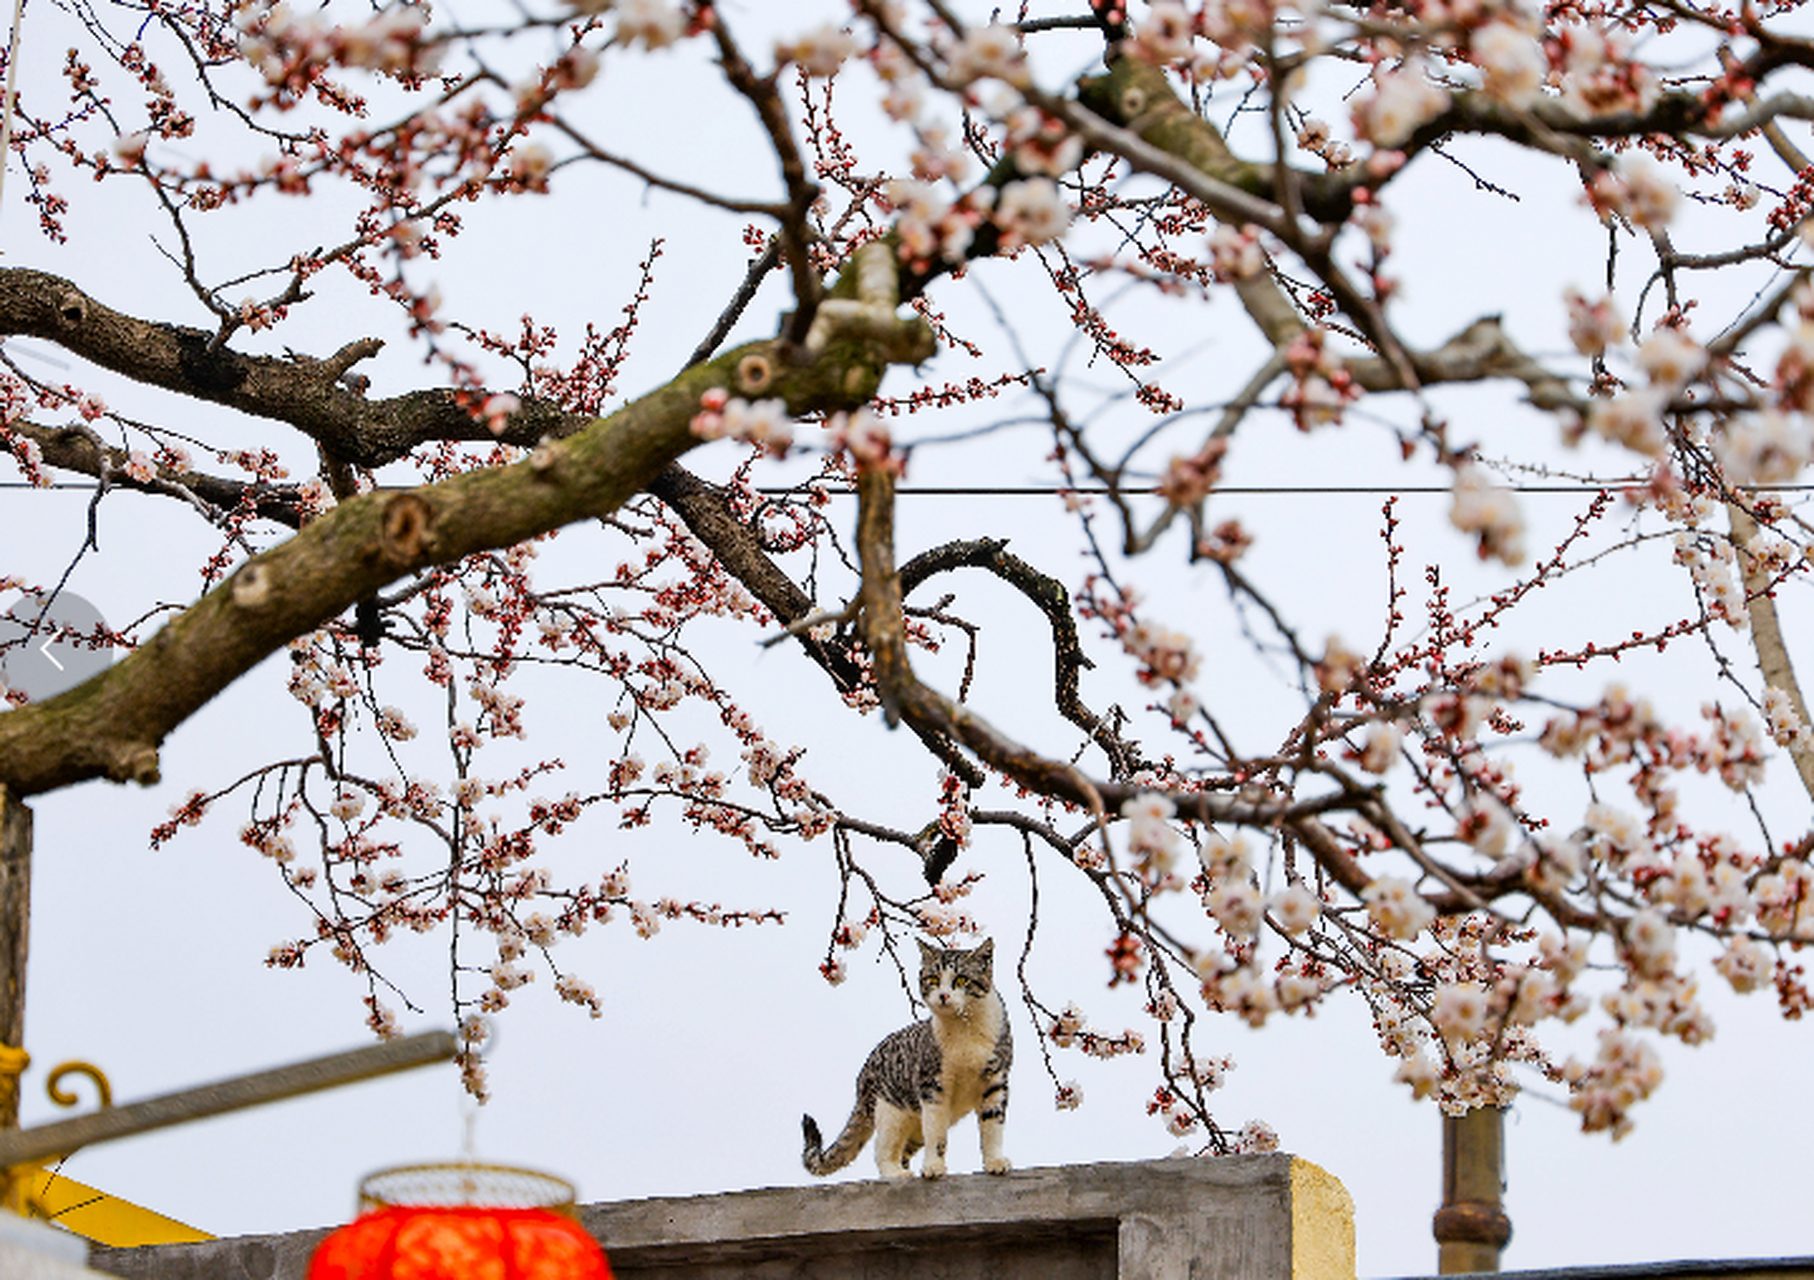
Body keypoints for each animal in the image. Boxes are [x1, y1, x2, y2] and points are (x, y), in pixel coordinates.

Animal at [805, 928, 1015, 1174]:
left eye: (961, 979)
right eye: (933, 980)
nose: (943, 995)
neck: (964, 1028)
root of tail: (864, 1073)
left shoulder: (995, 1082)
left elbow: (992, 1129)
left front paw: (995, 1162)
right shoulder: (932, 1087)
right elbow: (936, 1134)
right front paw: (933, 1167)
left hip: (914, 1125)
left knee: (904, 1149)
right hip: (891, 1111)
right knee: (884, 1151)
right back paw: (897, 1174)